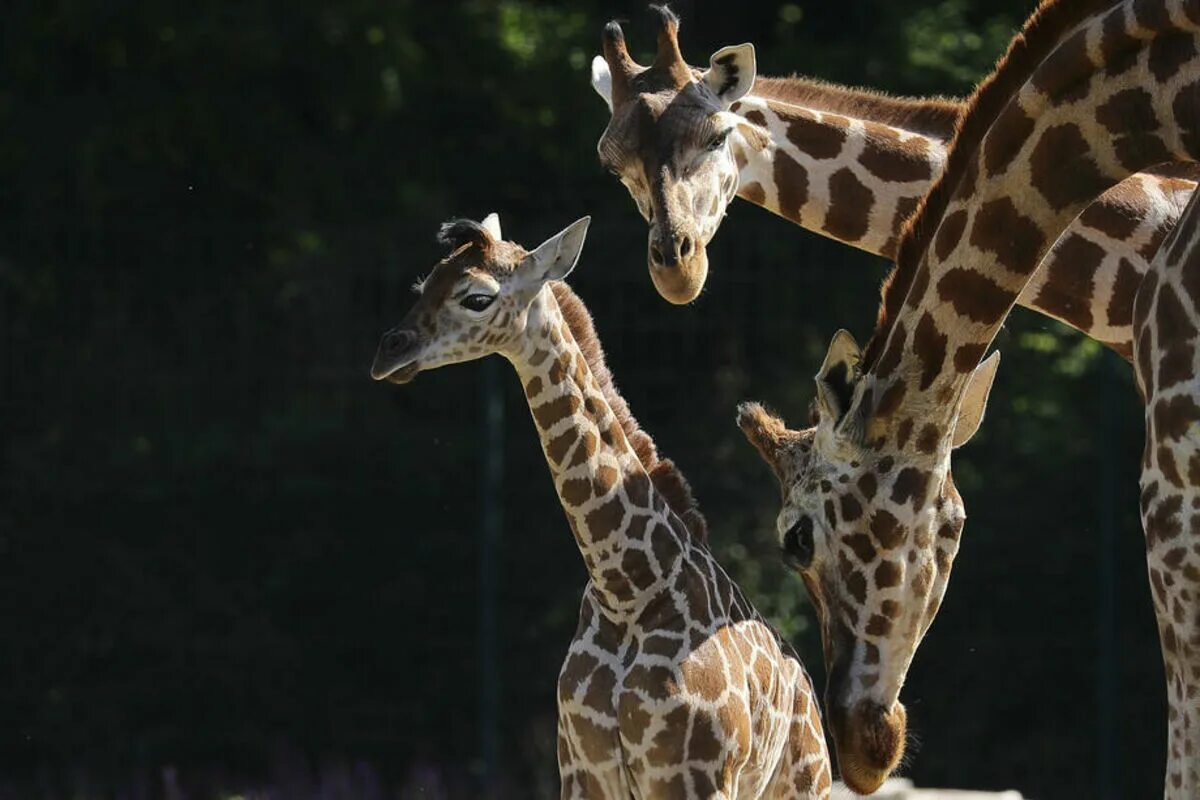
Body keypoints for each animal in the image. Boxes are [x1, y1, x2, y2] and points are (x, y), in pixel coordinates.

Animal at [369, 214, 830, 800]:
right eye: (423, 284)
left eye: (477, 297)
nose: (388, 352)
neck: (626, 590)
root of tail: (810, 699)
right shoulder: (582, 770)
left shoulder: (692, 776)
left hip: (804, 783)